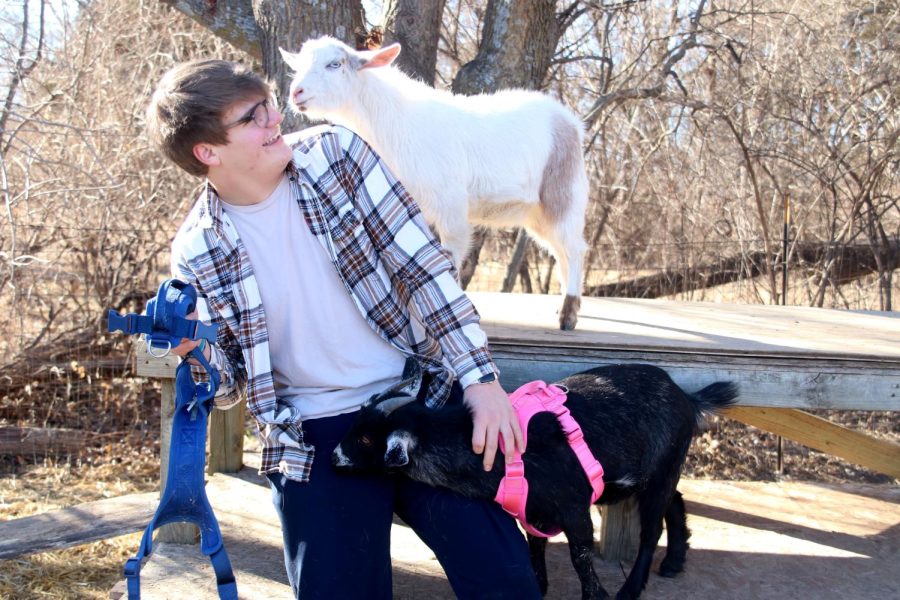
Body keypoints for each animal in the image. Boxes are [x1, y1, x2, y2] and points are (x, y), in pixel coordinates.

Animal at [282, 37, 592, 330]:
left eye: (335, 64)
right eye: (298, 66)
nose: (296, 92)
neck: (396, 121)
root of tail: (571, 123)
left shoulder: (450, 204)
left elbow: (449, 257)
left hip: (563, 192)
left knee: (574, 248)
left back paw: (568, 314)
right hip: (536, 212)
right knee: (560, 250)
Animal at [332, 364, 740, 596]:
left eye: (366, 440)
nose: (334, 457)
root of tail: (687, 397)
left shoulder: (574, 505)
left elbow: (579, 555)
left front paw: (597, 596)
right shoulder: (533, 508)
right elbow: (535, 546)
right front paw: (540, 585)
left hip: (660, 470)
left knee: (651, 529)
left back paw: (631, 588)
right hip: (654, 473)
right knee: (676, 500)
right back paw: (674, 561)